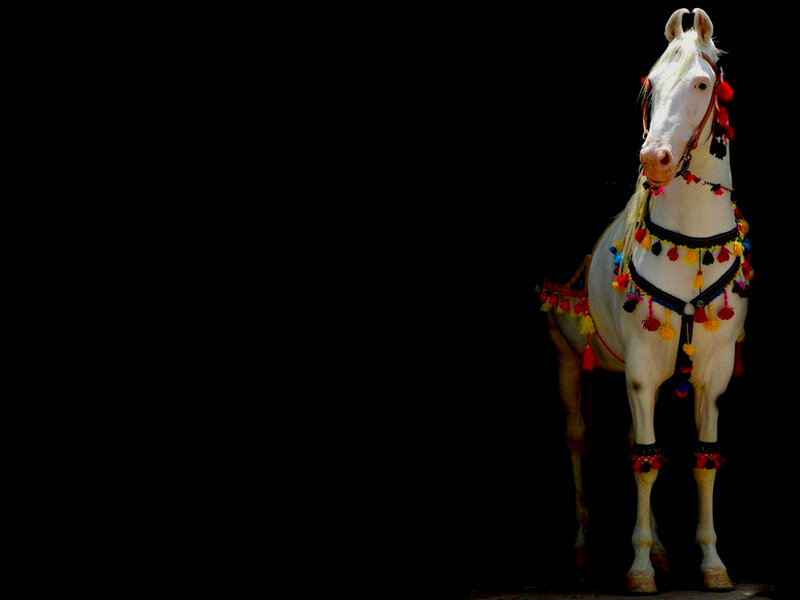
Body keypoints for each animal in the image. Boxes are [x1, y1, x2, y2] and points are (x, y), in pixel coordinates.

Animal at [539, 8, 751, 594]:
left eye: (701, 84)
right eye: (651, 87)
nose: (654, 160)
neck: (690, 246)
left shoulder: (712, 373)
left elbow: (700, 461)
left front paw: (711, 562)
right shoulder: (640, 367)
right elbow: (646, 463)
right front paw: (636, 569)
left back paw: (657, 546)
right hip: (569, 360)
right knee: (579, 440)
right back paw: (584, 546)